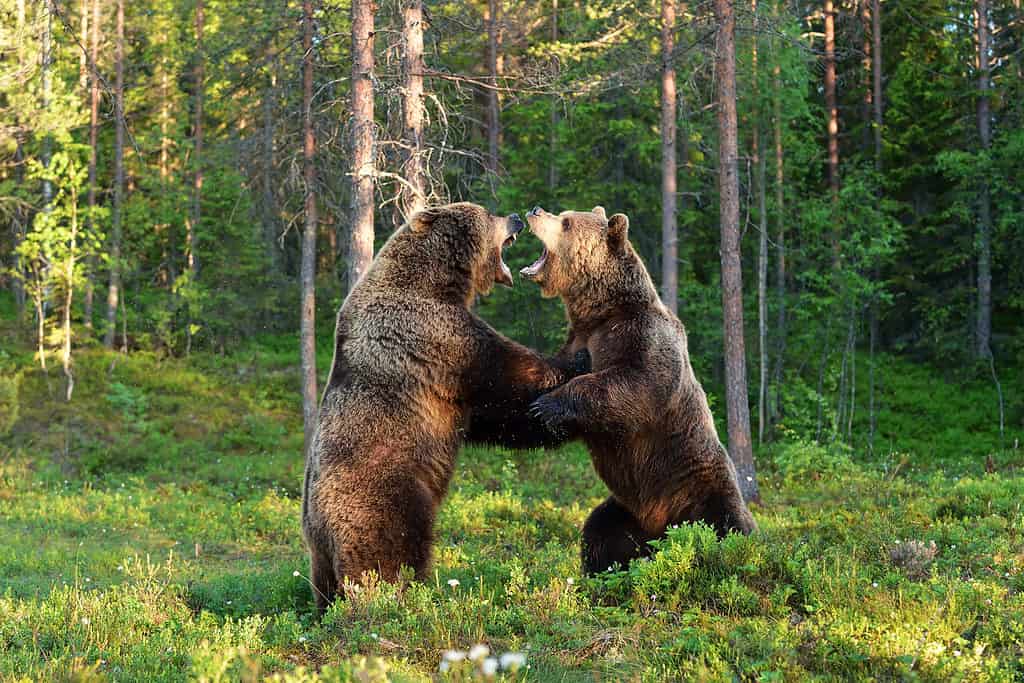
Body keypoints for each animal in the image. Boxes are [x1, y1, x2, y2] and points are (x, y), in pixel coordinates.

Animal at [299, 200, 581, 610]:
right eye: (487, 213)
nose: (515, 217)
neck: (437, 280)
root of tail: (318, 526)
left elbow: (499, 416)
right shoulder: (435, 335)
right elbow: (505, 372)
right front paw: (575, 363)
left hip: (320, 555)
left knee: (324, 587)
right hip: (384, 497)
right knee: (387, 557)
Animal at [524, 205, 757, 573]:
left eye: (566, 222)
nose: (535, 210)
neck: (601, 312)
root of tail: (660, 530)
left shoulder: (643, 338)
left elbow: (635, 385)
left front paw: (548, 405)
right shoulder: (579, 340)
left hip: (699, 489)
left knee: (728, 526)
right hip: (626, 511)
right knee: (598, 532)